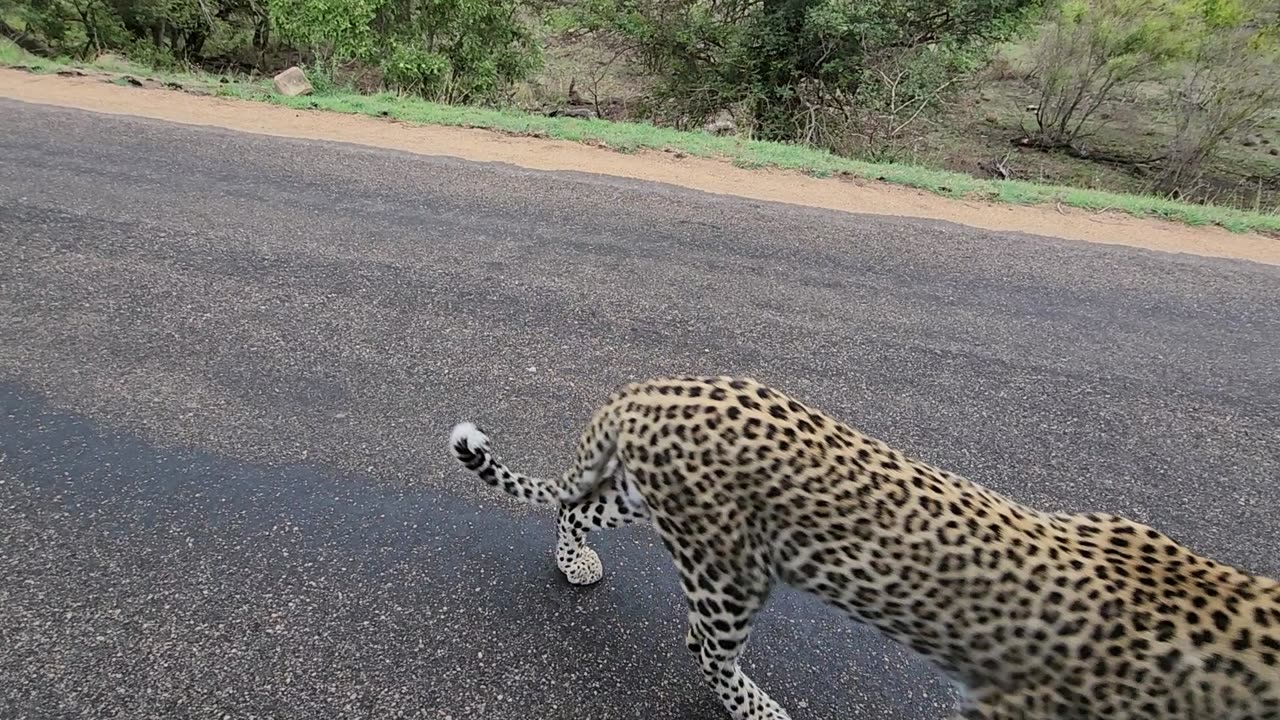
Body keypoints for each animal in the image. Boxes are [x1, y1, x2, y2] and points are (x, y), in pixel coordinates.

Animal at [448, 376, 1280, 717]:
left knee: (576, 506)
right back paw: (764, 713)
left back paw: (573, 561)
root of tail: (646, 389)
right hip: (728, 566)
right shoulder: (1015, 708)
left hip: (654, 501)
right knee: (705, 648)